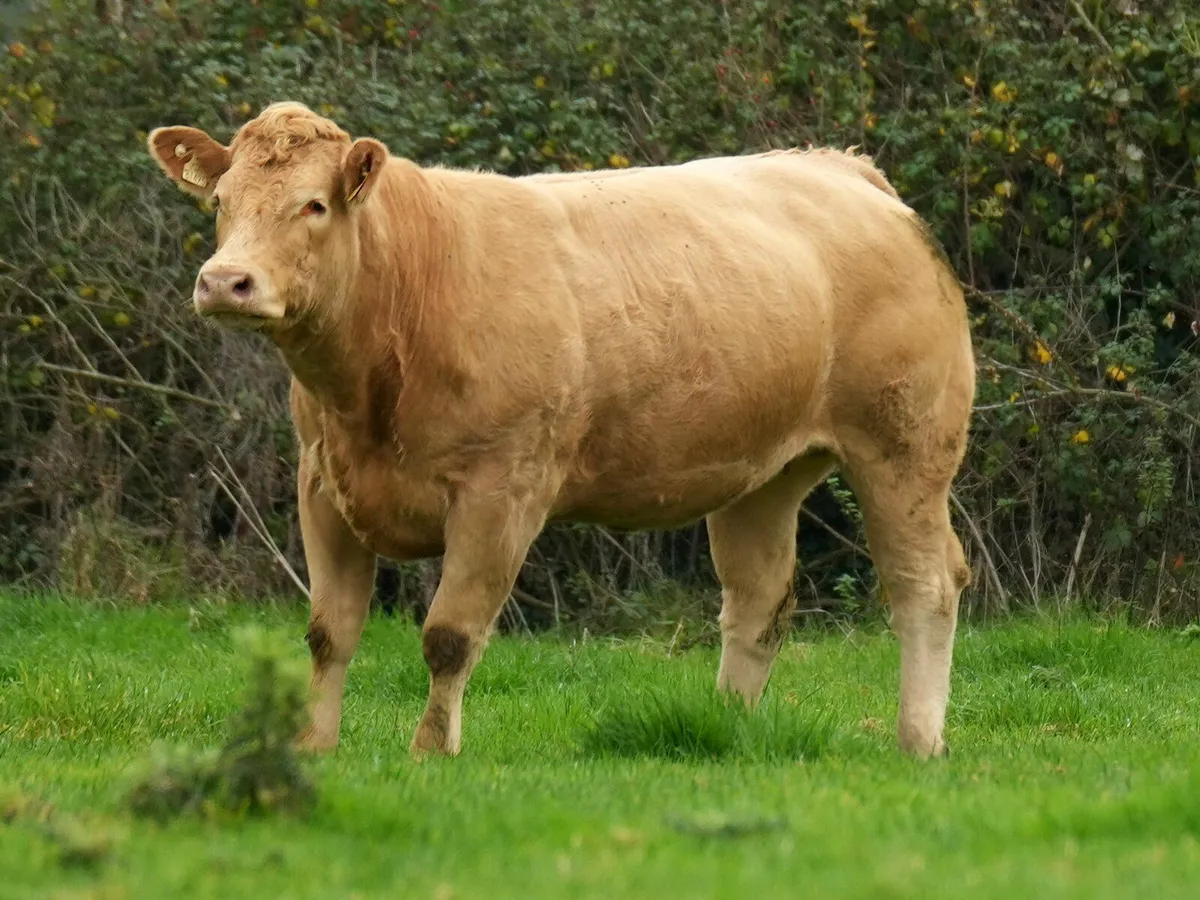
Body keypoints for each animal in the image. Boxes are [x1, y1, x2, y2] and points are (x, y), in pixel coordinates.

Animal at [147, 101, 975, 760]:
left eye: (314, 205)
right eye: (221, 200)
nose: (225, 281)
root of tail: (845, 171)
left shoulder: (500, 489)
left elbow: (449, 634)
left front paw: (430, 751)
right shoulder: (322, 482)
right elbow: (329, 631)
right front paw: (311, 746)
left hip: (904, 445)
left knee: (925, 583)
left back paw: (919, 740)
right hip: (762, 473)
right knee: (759, 600)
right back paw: (728, 725)